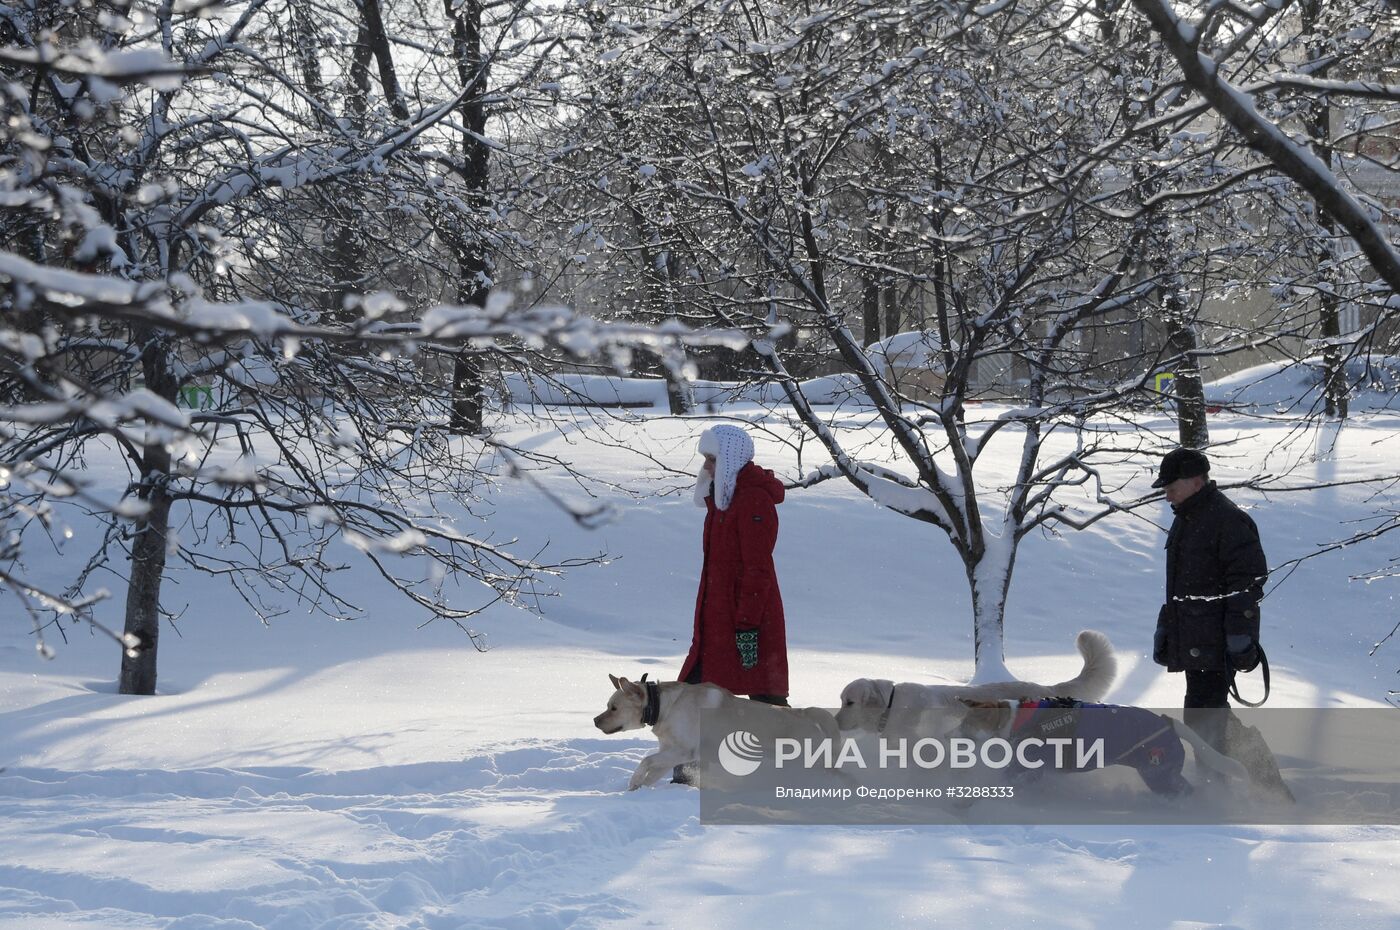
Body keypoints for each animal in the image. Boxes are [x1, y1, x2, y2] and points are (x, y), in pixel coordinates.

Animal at [593, 675, 840, 789]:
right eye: (607, 705)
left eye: (613, 708)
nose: (595, 721)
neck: (664, 706)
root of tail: (806, 714)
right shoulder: (670, 752)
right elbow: (651, 773)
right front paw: (636, 790)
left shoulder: (684, 751)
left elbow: (646, 761)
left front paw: (633, 780)